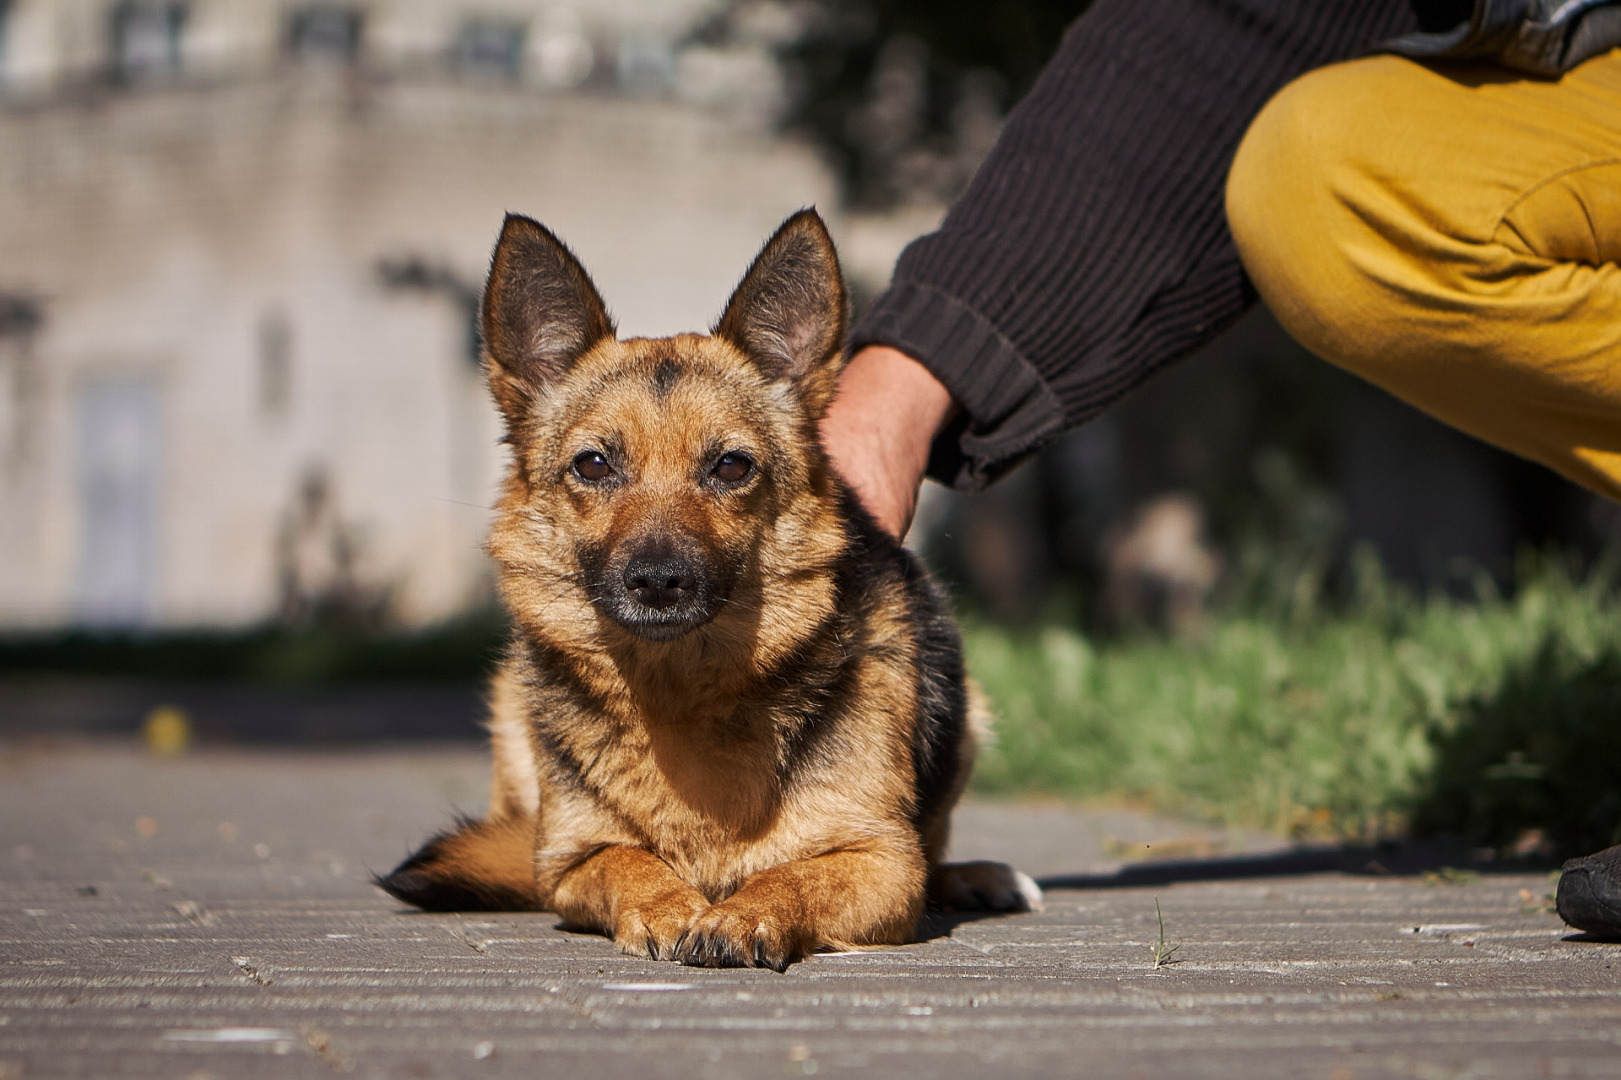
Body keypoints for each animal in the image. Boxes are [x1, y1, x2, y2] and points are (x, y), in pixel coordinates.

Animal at [377, 204, 1037, 966]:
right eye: (594, 464)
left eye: (730, 466)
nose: (658, 580)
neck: (680, 691)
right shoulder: (570, 864)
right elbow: (626, 861)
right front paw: (668, 904)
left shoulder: (883, 863)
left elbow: (796, 876)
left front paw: (745, 913)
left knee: (935, 856)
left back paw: (977, 877)